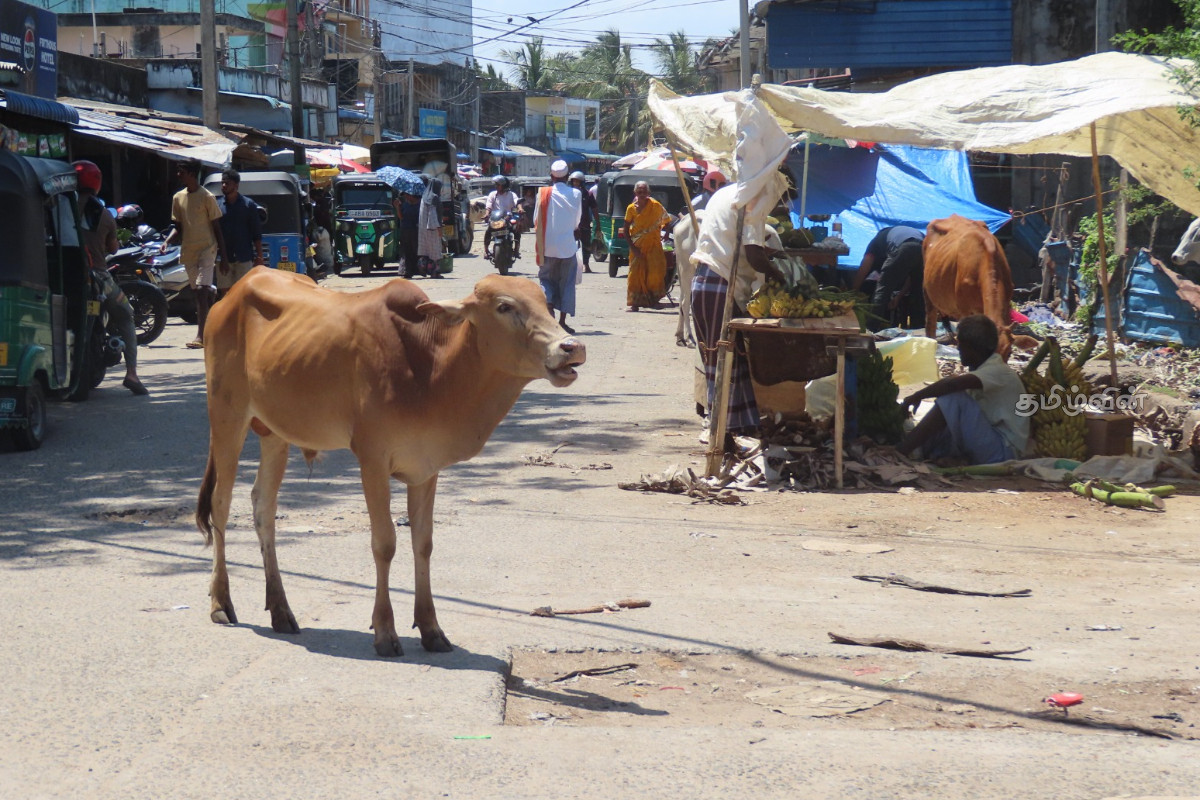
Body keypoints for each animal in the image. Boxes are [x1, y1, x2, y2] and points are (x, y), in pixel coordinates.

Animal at [195, 268, 586, 657]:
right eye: (504, 306)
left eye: (545, 303)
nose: (572, 347)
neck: (430, 368)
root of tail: (237, 287)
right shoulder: (372, 459)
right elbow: (384, 544)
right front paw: (385, 631)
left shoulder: (426, 468)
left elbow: (423, 543)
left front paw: (431, 628)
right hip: (227, 416)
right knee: (220, 504)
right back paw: (220, 602)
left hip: (275, 433)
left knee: (263, 507)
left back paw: (280, 610)